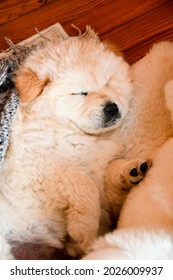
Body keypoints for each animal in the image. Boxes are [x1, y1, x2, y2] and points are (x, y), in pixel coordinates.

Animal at [0, 29, 146, 260]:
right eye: (80, 93)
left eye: (109, 82)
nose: (111, 107)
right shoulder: (29, 173)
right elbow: (82, 181)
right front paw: (84, 229)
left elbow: (108, 179)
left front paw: (128, 171)